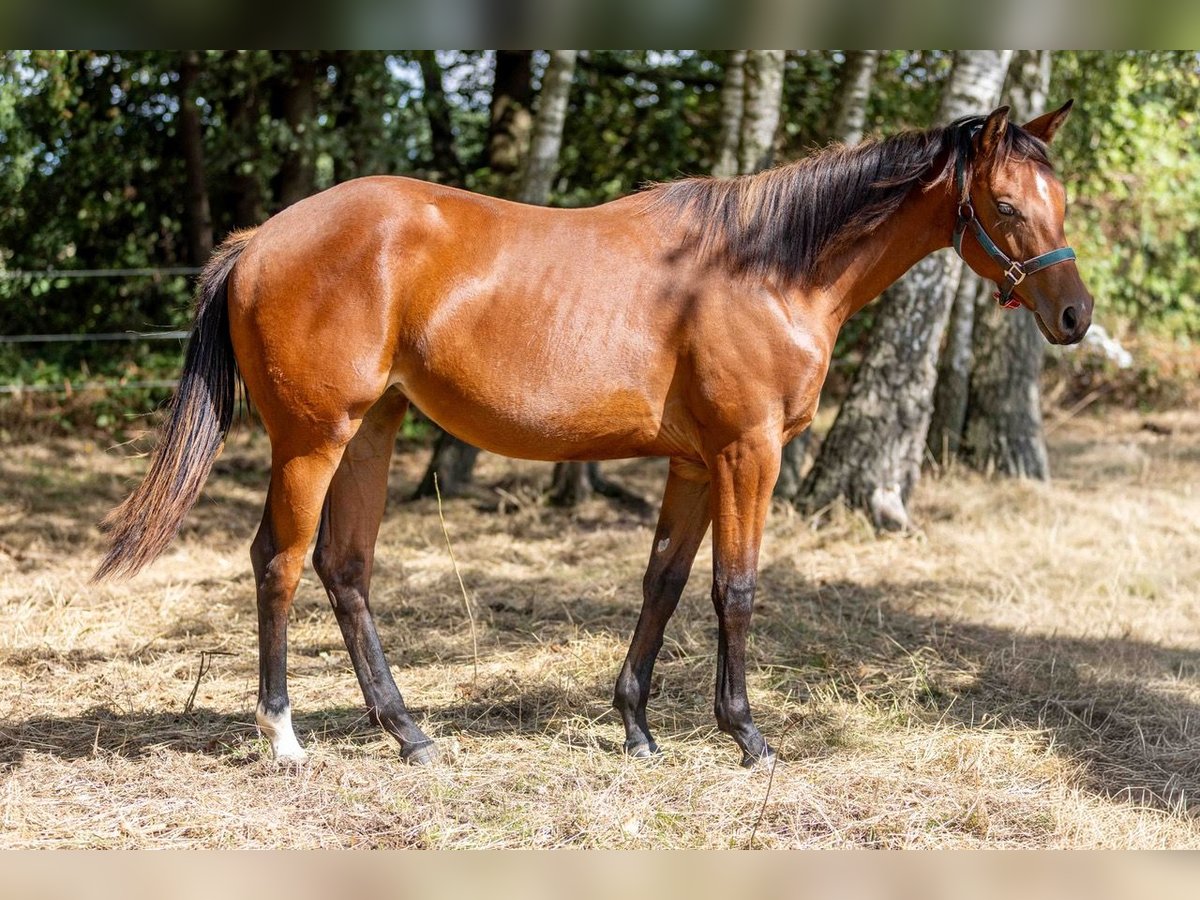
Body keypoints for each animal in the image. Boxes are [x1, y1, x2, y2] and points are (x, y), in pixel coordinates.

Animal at [95, 102, 1092, 768]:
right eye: (1006, 206)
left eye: (1062, 201)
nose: (1076, 315)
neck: (769, 270)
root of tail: (260, 240)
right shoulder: (748, 453)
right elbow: (735, 590)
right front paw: (748, 735)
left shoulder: (694, 464)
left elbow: (663, 586)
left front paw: (638, 727)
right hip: (313, 441)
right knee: (281, 563)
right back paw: (285, 737)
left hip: (371, 431)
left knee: (346, 570)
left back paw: (410, 733)